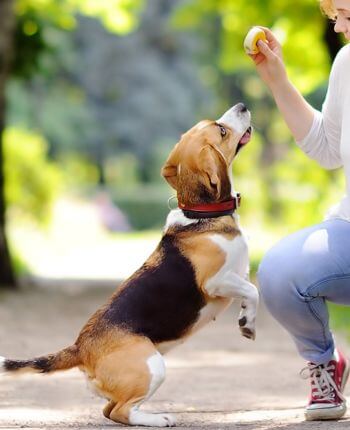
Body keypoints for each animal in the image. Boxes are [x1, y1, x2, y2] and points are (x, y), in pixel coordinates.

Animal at [0, 103, 258, 426]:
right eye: (221, 130)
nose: (242, 106)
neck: (201, 215)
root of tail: (80, 348)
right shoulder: (216, 282)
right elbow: (253, 290)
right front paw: (248, 323)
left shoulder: (239, 275)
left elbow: (250, 291)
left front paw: (246, 320)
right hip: (153, 366)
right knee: (121, 411)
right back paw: (159, 418)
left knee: (110, 411)